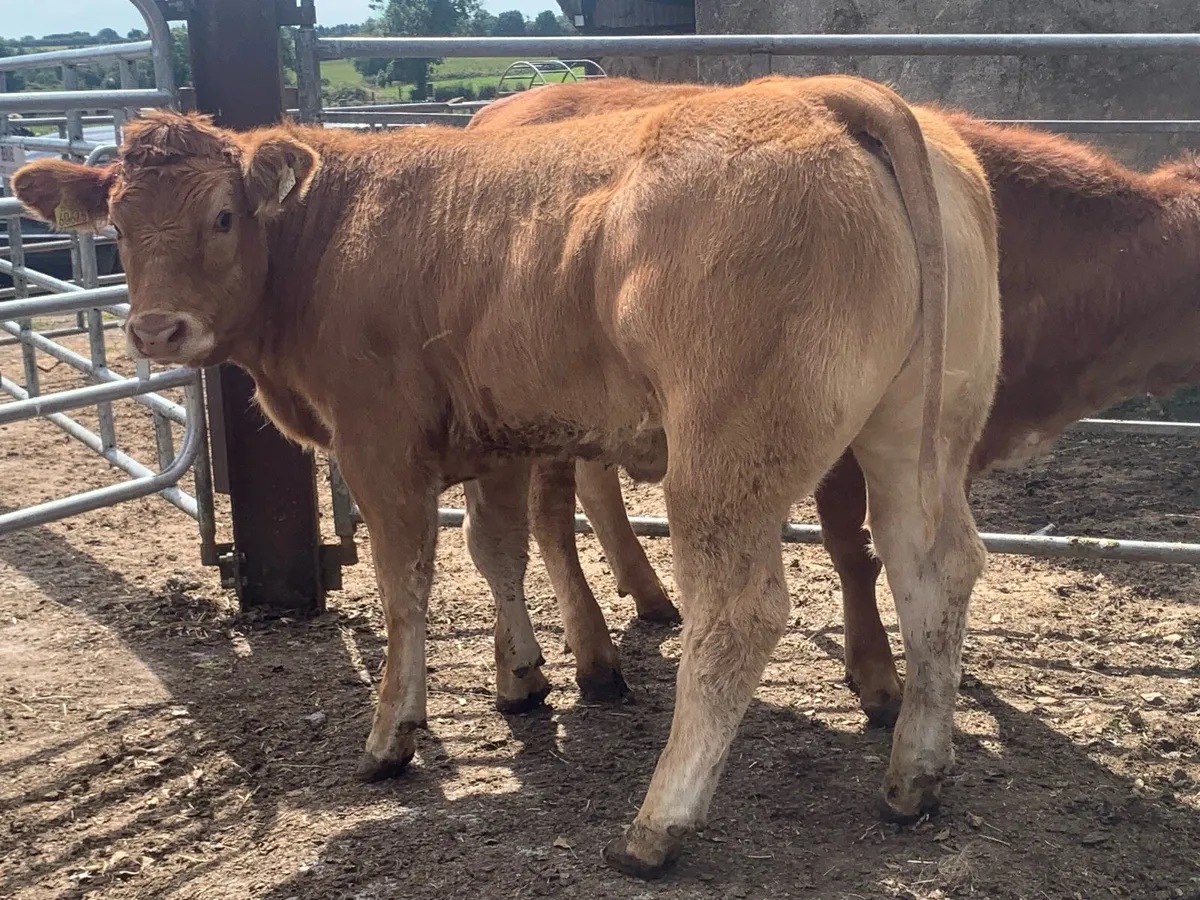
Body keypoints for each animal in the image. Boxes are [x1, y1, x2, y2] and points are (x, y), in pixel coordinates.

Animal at [12, 74, 1001, 877]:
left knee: (739, 613)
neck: (332, 234)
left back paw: (657, 827)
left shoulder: (378, 444)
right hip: (916, 434)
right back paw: (916, 775)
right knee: (934, 570)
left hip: (727, 458)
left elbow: (406, 585)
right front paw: (522, 678)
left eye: (222, 215)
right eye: (116, 224)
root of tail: (827, 97)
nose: (155, 329)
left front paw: (393, 736)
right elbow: (498, 550)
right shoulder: (501, 437)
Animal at [471, 75, 1200, 729]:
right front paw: (877, 676)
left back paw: (647, 597)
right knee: (548, 519)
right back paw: (587, 659)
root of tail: (504, 108)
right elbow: (855, 551)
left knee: (593, 492)